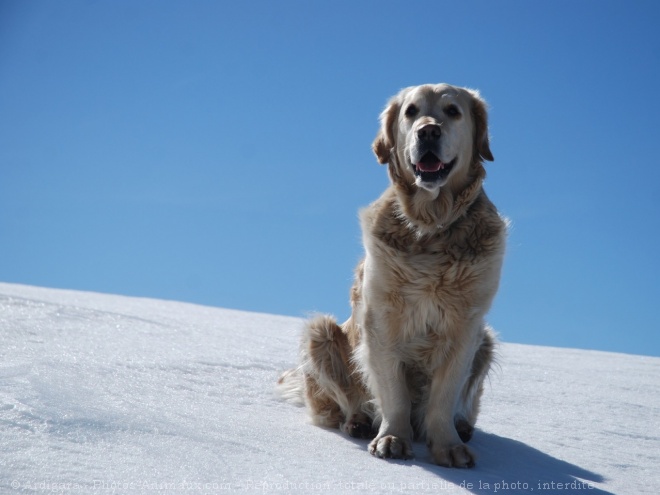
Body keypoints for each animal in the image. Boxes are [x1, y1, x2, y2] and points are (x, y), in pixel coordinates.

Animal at [278, 84, 506, 468]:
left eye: (453, 111)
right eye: (411, 111)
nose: (428, 132)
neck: (431, 226)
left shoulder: (466, 326)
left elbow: (444, 395)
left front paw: (448, 446)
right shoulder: (381, 320)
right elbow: (393, 391)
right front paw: (393, 438)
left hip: (486, 341)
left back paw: (462, 427)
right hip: (320, 334)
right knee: (344, 402)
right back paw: (358, 422)